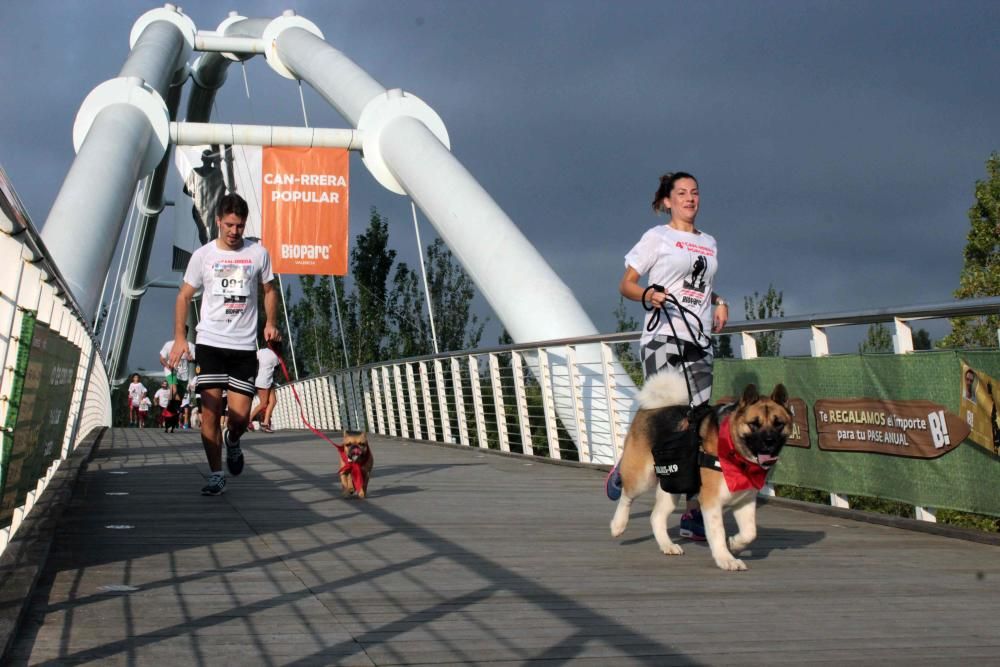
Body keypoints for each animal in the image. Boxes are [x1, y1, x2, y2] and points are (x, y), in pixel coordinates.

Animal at [608, 374, 788, 572]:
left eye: (779, 424)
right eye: (754, 424)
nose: (769, 441)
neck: (733, 449)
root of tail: (654, 407)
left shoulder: (745, 500)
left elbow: (750, 532)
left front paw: (734, 544)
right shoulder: (711, 501)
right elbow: (718, 532)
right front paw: (726, 559)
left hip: (672, 487)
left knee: (656, 517)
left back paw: (667, 545)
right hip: (642, 478)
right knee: (626, 496)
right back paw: (618, 525)